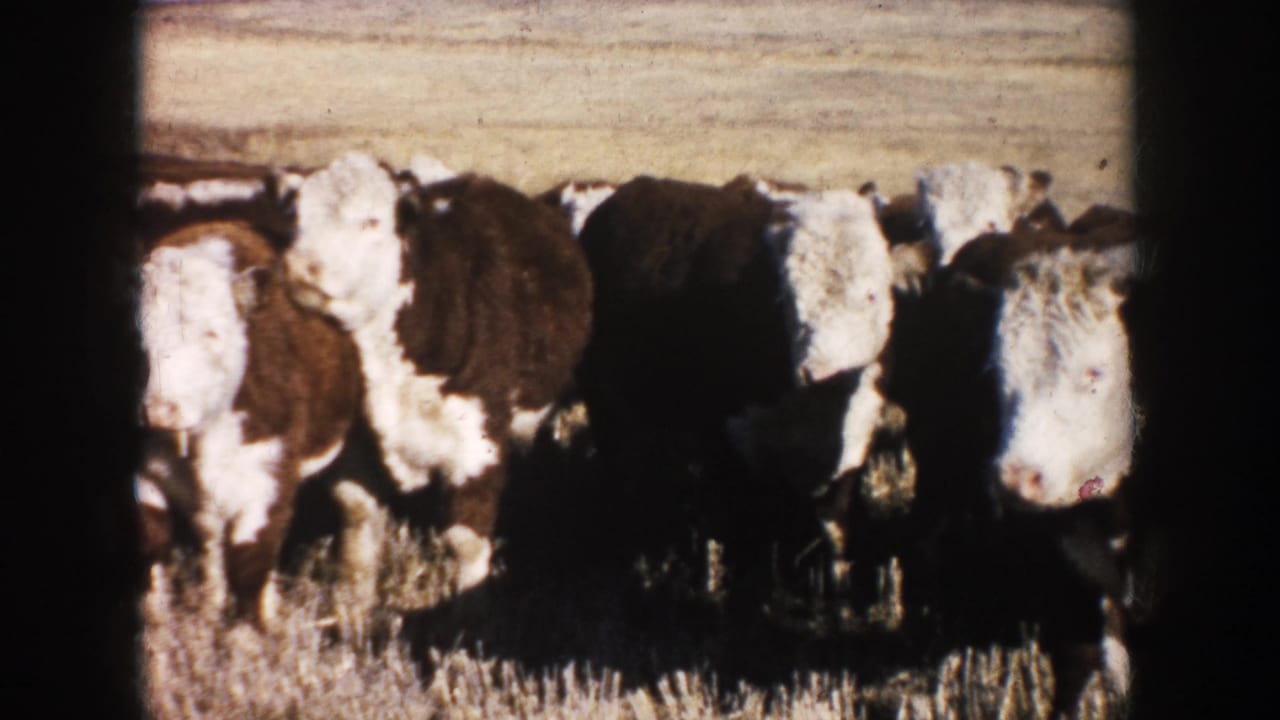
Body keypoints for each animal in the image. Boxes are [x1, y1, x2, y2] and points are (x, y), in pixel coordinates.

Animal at [137, 220, 363, 628]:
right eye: (138, 334)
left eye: (212, 333)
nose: (160, 410)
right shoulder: (144, 476)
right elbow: (153, 547)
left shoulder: (267, 477)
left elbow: (250, 566)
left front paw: (248, 636)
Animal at [282, 152, 593, 595]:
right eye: (296, 217)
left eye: (372, 220)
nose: (303, 269)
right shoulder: (356, 447)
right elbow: (358, 528)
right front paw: (351, 610)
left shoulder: (478, 443)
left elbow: (466, 544)